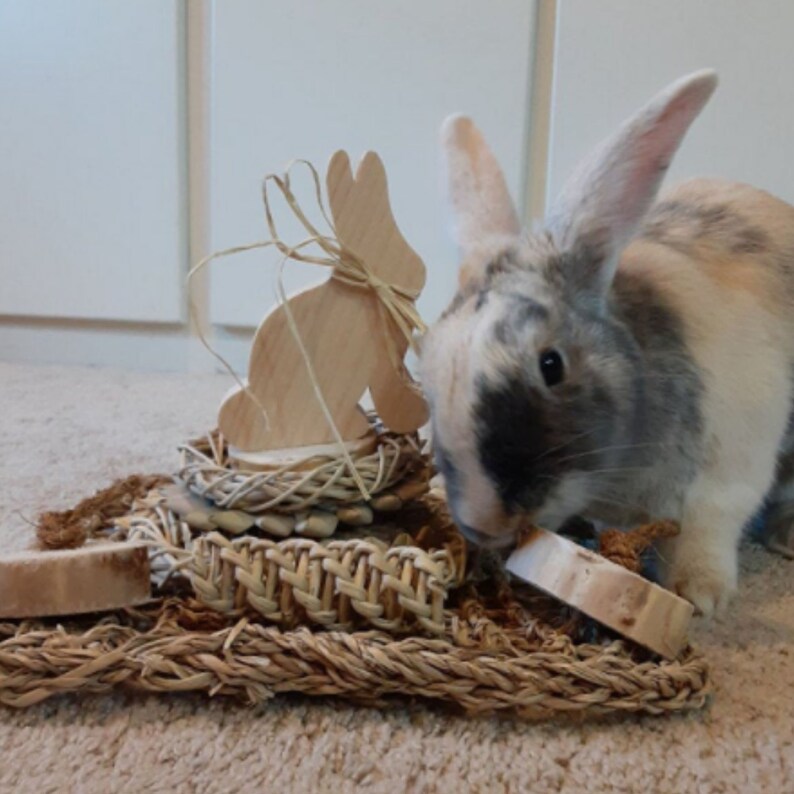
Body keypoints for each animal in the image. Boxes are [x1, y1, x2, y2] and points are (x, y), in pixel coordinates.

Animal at [418, 69, 794, 617]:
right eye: (427, 370)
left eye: (551, 365)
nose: (484, 524)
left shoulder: (726, 474)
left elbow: (708, 532)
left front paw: (700, 596)